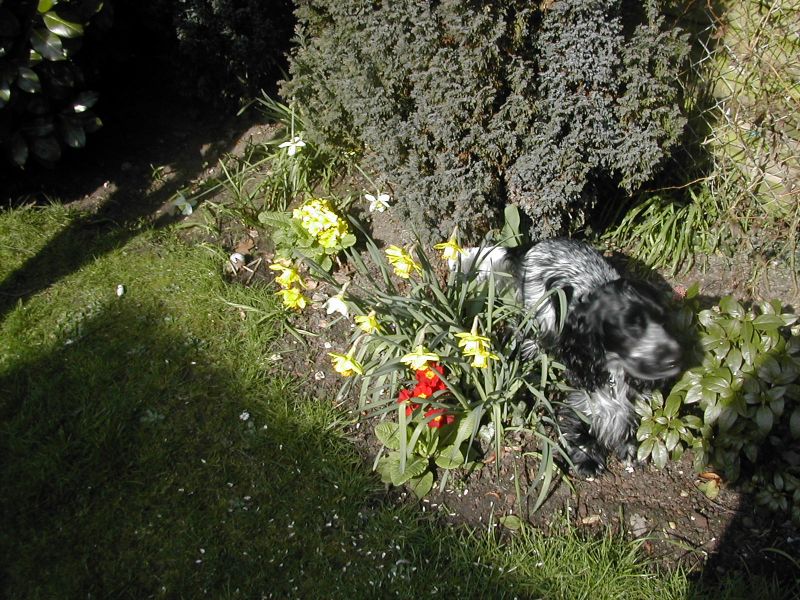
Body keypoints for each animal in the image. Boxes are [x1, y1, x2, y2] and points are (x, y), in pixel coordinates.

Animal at [456, 237, 680, 476]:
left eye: (662, 320)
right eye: (631, 326)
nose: (673, 360)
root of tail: (539, 243)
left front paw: (629, 449)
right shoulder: (583, 394)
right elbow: (579, 426)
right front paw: (588, 460)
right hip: (539, 314)